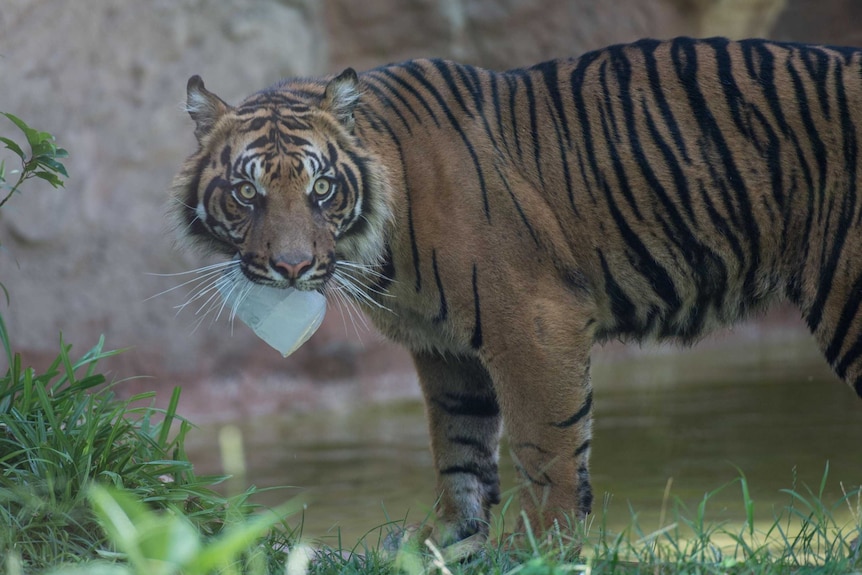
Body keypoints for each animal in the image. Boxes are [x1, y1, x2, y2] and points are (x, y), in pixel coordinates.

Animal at [170, 37, 862, 552]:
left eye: (321, 190)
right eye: (247, 193)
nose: (292, 268)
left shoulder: (533, 323)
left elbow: (545, 442)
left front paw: (541, 546)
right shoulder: (444, 350)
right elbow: (459, 446)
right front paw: (446, 539)